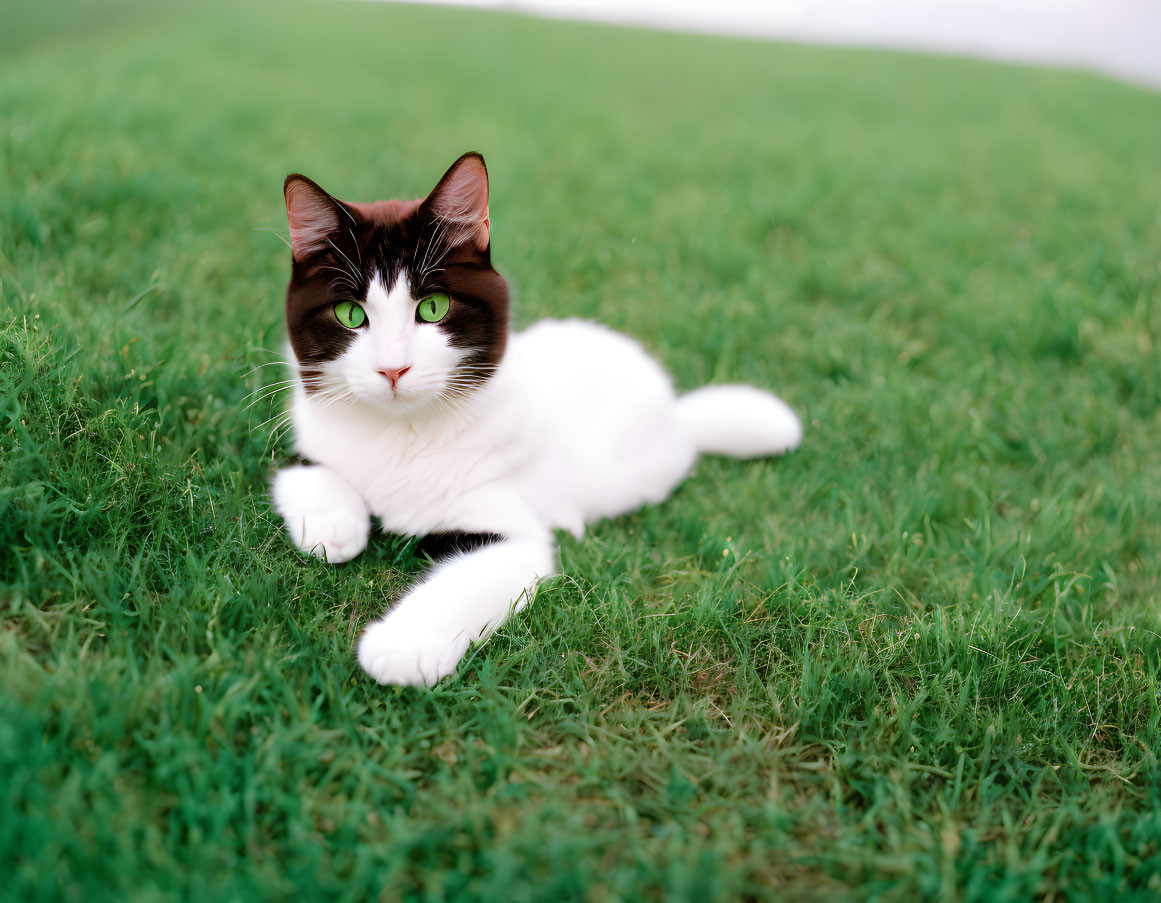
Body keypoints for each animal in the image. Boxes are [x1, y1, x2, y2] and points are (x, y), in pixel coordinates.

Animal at [272, 153, 803, 682]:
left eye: (433, 307)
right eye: (349, 314)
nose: (393, 368)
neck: (402, 434)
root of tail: (676, 411)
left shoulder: (509, 529)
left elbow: (467, 580)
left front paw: (402, 648)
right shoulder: (311, 440)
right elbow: (308, 472)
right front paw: (334, 528)